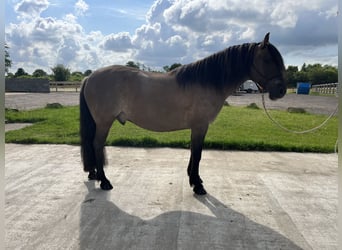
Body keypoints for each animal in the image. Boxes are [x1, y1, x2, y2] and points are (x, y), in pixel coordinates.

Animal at [79, 32, 286, 195]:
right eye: (268, 60)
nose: (281, 90)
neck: (206, 82)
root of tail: (90, 76)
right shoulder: (200, 126)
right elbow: (198, 153)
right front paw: (197, 185)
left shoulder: (198, 127)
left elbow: (193, 152)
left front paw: (195, 179)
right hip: (104, 122)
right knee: (97, 145)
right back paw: (104, 181)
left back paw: (94, 174)